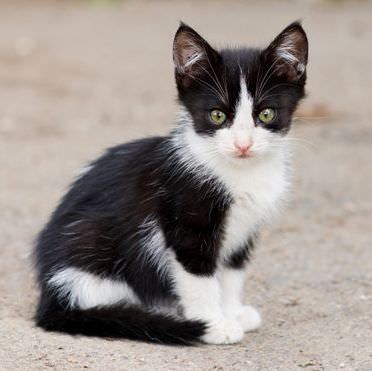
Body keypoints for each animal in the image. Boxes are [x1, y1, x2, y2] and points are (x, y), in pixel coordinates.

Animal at [34, 21, 308, 346]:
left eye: (266, 114)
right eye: (217, 115)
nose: (243, 145)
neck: (241, 173)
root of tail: (49, 298)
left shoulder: (245, 230)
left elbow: (231, 272)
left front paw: (232, 311)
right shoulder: (186, 218)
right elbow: (198, 276)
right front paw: (214, 324)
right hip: (91, 244)